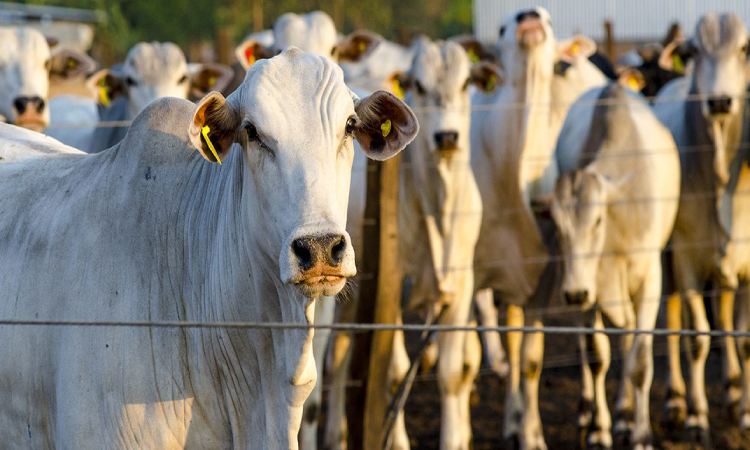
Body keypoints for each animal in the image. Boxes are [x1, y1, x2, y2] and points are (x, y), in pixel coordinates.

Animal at [472, 6, 608, 446]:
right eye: (501, 26)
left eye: (547, 18)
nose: (529, 15)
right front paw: (516, 424)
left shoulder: (544, 273)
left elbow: (532, 359)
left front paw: (532, 434)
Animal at [552, 82, 680, 448]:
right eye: (557, 226)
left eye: (597, 220)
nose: (574, 293)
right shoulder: (585, 287)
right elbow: (597, 356)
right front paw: (600, 429)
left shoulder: (651, 280)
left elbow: (640, 363)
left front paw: (641, 435)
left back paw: (627, 416)